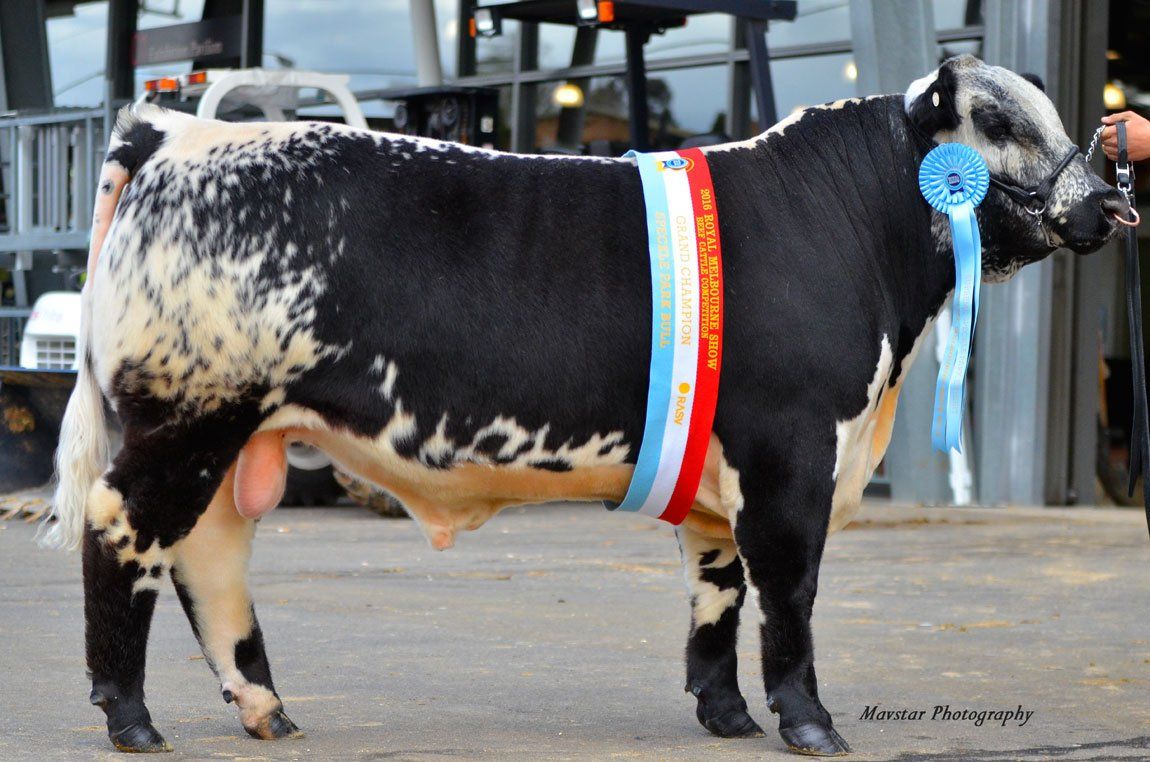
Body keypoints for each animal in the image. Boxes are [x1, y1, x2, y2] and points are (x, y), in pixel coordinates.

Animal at [47, 55, 1127, 756]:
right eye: (999, 125)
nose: (1111, 202)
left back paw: (266, 708)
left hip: (234, 432)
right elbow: (789, 590)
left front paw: (724, 714)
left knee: (209, 556)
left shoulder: (723, 461)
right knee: (123, 530)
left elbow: (715, 586)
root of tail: (184, 130)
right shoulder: (791, 449)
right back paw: (128, 717)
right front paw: (809, 723)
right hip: (190, 413)